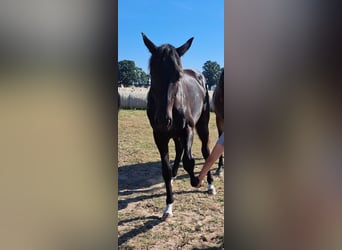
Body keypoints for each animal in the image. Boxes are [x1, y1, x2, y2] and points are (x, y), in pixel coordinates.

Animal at [141, 33, 214, 221]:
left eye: (178, 75)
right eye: (152, 73)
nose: (163, 119)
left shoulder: (188, 129)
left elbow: (189, 161)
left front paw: (196, 181)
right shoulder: (159, 135)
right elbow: (165, 169)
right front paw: (168, 205)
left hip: (202, 125)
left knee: (206, 151)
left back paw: (210, 185)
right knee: (179, 149)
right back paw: (175, 175)